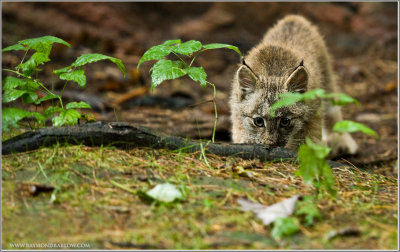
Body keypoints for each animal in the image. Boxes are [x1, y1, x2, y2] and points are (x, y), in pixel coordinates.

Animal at [230, 14, 358, 158]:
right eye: (258, 121)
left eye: (285, 121)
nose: (271, 143)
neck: (272, 74)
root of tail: (294, 18)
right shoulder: (236, 110)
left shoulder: (313, 111)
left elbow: (307, 143)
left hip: (326, 79)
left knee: (332, 108)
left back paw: (341, 140)